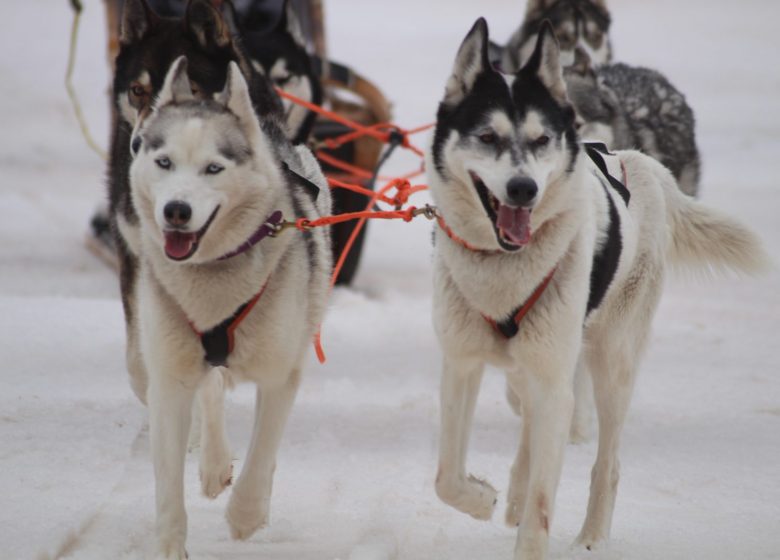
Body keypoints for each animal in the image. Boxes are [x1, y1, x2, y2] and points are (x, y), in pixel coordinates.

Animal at [129, 58, 330, 560]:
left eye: (213, 168)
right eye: (164, 162)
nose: (176, 210)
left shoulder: (280, 375)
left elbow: (262, 454)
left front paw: (245, 516)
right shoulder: (169, 381)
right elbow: (168, 487)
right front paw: (170, 545)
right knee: (212, 389)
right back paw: (214, 463)